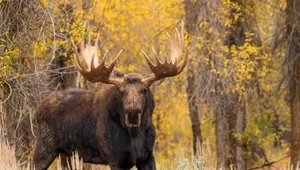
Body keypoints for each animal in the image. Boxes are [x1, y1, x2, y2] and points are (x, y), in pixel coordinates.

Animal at [32, 21, 186, 170]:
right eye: (121, 91)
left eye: (144, 90)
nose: (132, 113)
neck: (135, 136)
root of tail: (38, 109)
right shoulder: (116, 159)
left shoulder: (147, 157)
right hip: (45, 147)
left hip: (67, 154)